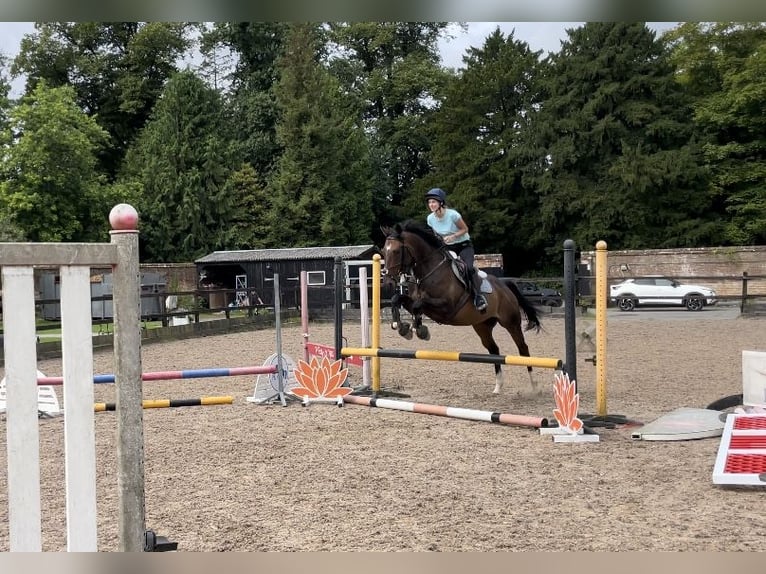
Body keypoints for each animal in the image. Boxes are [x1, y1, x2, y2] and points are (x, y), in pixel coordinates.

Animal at [380, 220, 544, 396]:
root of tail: (504, 285)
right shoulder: (417, 303)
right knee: (494, 349)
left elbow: (418, 305)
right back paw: (498, 386)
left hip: (511, 322)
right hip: (482, 326)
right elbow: (399, 300)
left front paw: (418, 330)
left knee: (523, 349)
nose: (388, 283)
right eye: (383, 251)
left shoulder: (446, 307)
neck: (428, 271)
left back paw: (535, 386)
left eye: (396, 251)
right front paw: (403, 327)